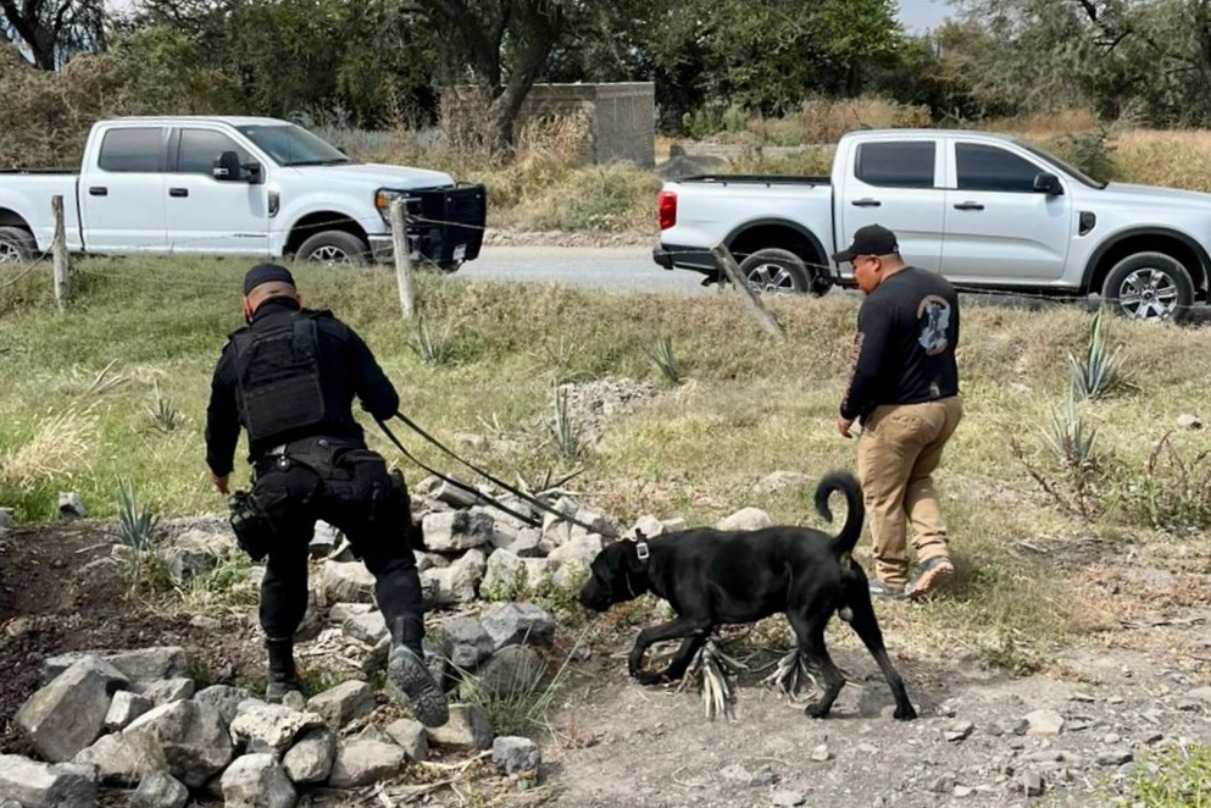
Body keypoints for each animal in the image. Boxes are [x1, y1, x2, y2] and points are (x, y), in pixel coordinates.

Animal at [581, 470, 910, 721]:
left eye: (596, 573)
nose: (579, 598)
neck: (650, 556)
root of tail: (835, 546)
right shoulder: (700, 626)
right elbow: (679, 660)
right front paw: (658, 676)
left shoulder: (695, 618)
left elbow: (645, 634)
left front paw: (635, 664)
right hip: (863, 620)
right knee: (891, 671)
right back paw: (905, 710)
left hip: (805, 626)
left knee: (836, 678)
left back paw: (820, 710)